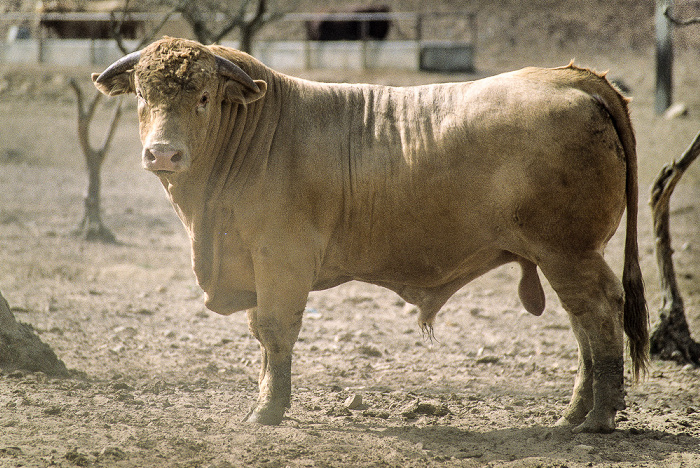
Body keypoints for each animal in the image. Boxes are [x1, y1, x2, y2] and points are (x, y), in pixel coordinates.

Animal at [94, 37, 652, 436]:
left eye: (205, 97)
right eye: (142, 96)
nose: (163, 153)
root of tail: (570, 79)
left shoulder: (281, 260)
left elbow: (274, 332)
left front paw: (268, 410)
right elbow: (261, 335)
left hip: (569, 252)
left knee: (599, 314)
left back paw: (598, 419)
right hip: (568, 257)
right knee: (582, 324)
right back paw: (572, 416)